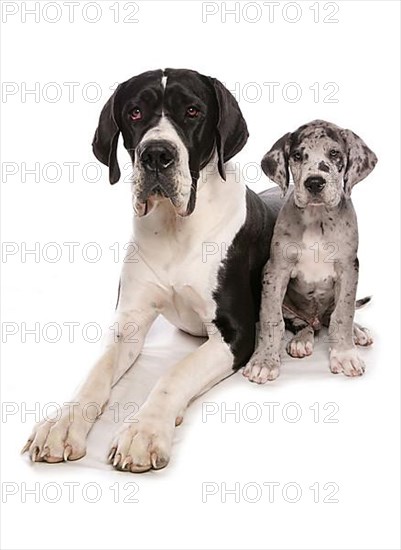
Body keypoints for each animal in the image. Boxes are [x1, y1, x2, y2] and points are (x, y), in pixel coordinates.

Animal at [22, 69, 282, 474]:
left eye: (192, 111)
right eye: (135, 112)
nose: (157, 154)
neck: (175, 228)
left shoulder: (236, 334)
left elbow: (174, 372)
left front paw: (143, 431)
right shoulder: (129, 321)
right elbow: (96, 373)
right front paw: (63, 424)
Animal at [242, 118, 376, 386]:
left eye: (334, 154)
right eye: (297, 155)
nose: (314, 182)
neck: (317, 218)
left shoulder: (349, 269)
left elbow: (344, 314)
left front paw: (344, 354)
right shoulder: (276, 271)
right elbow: (272, 319)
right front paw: (264, 361)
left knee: (334, 316)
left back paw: (358, 332)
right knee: (301, 324)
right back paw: (301, 340)